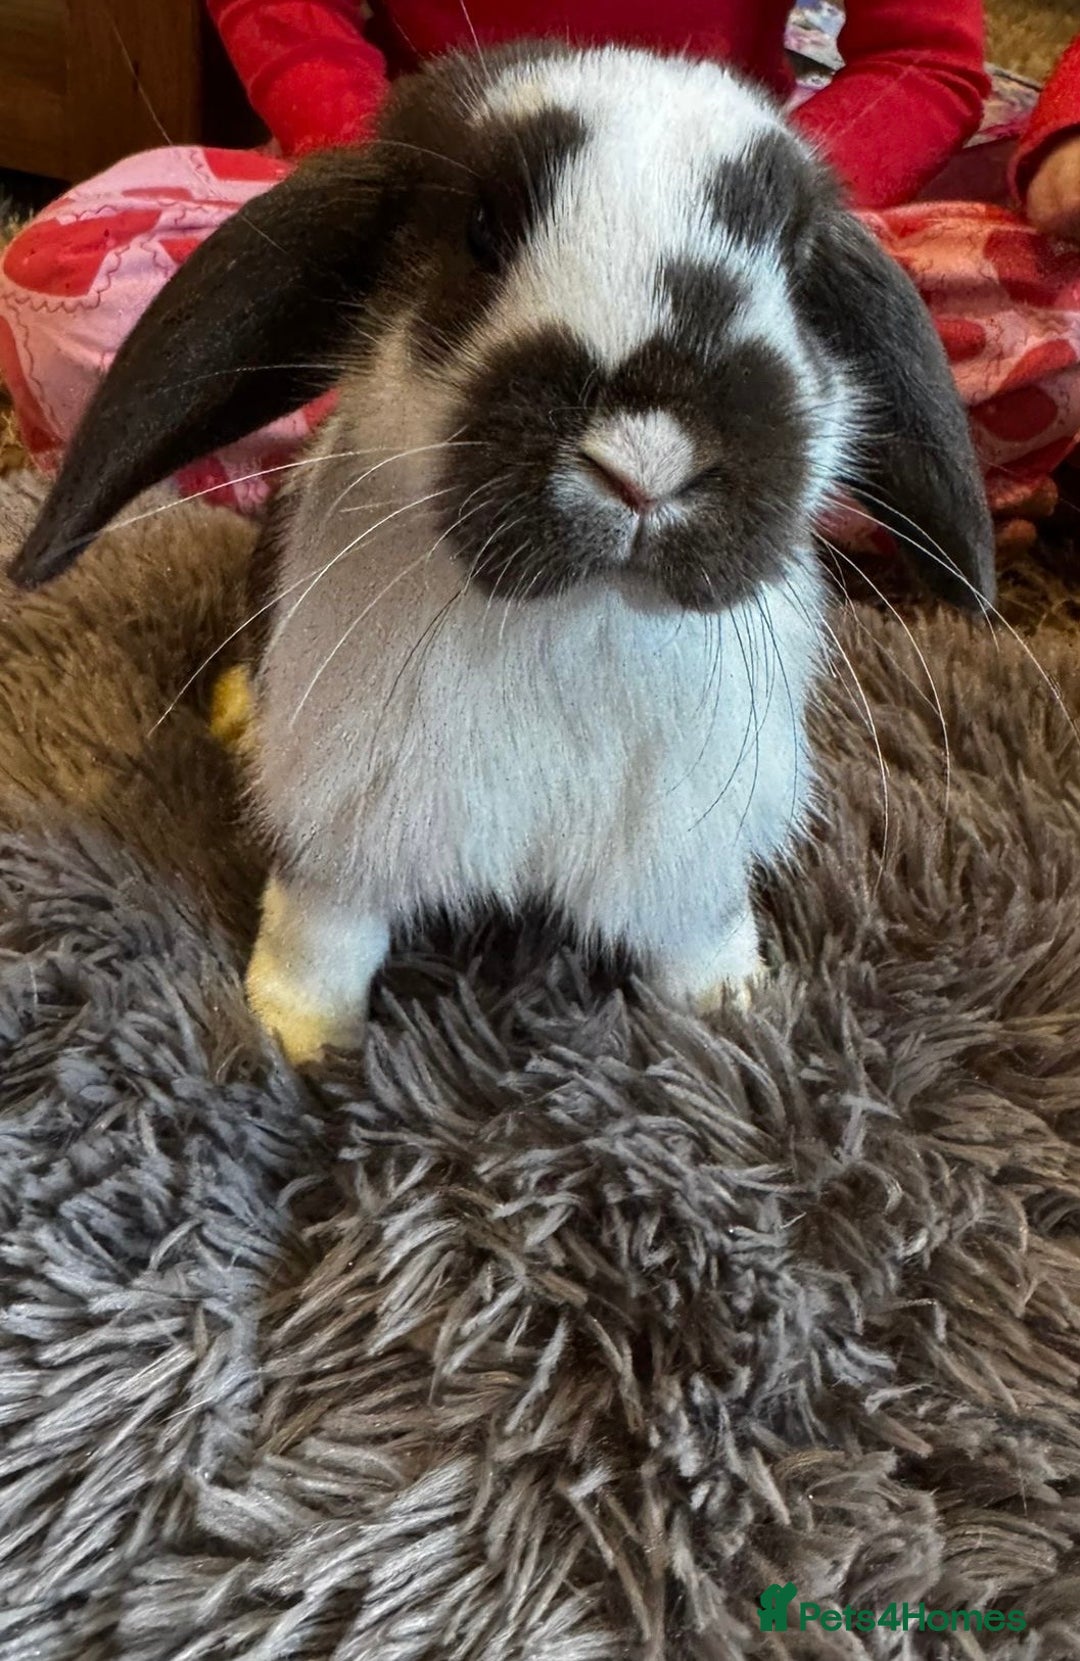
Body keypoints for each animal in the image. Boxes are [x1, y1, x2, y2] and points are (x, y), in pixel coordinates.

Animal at [11, 42, 995, 1065]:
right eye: (480, 232)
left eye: (796, 264)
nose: (646, 459)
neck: (574, 620)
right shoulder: (342, 829)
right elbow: (321, 935)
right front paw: (297, 1040)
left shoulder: (688, 851)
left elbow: (700, 932)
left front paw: (732, 1010)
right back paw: (239, 715)